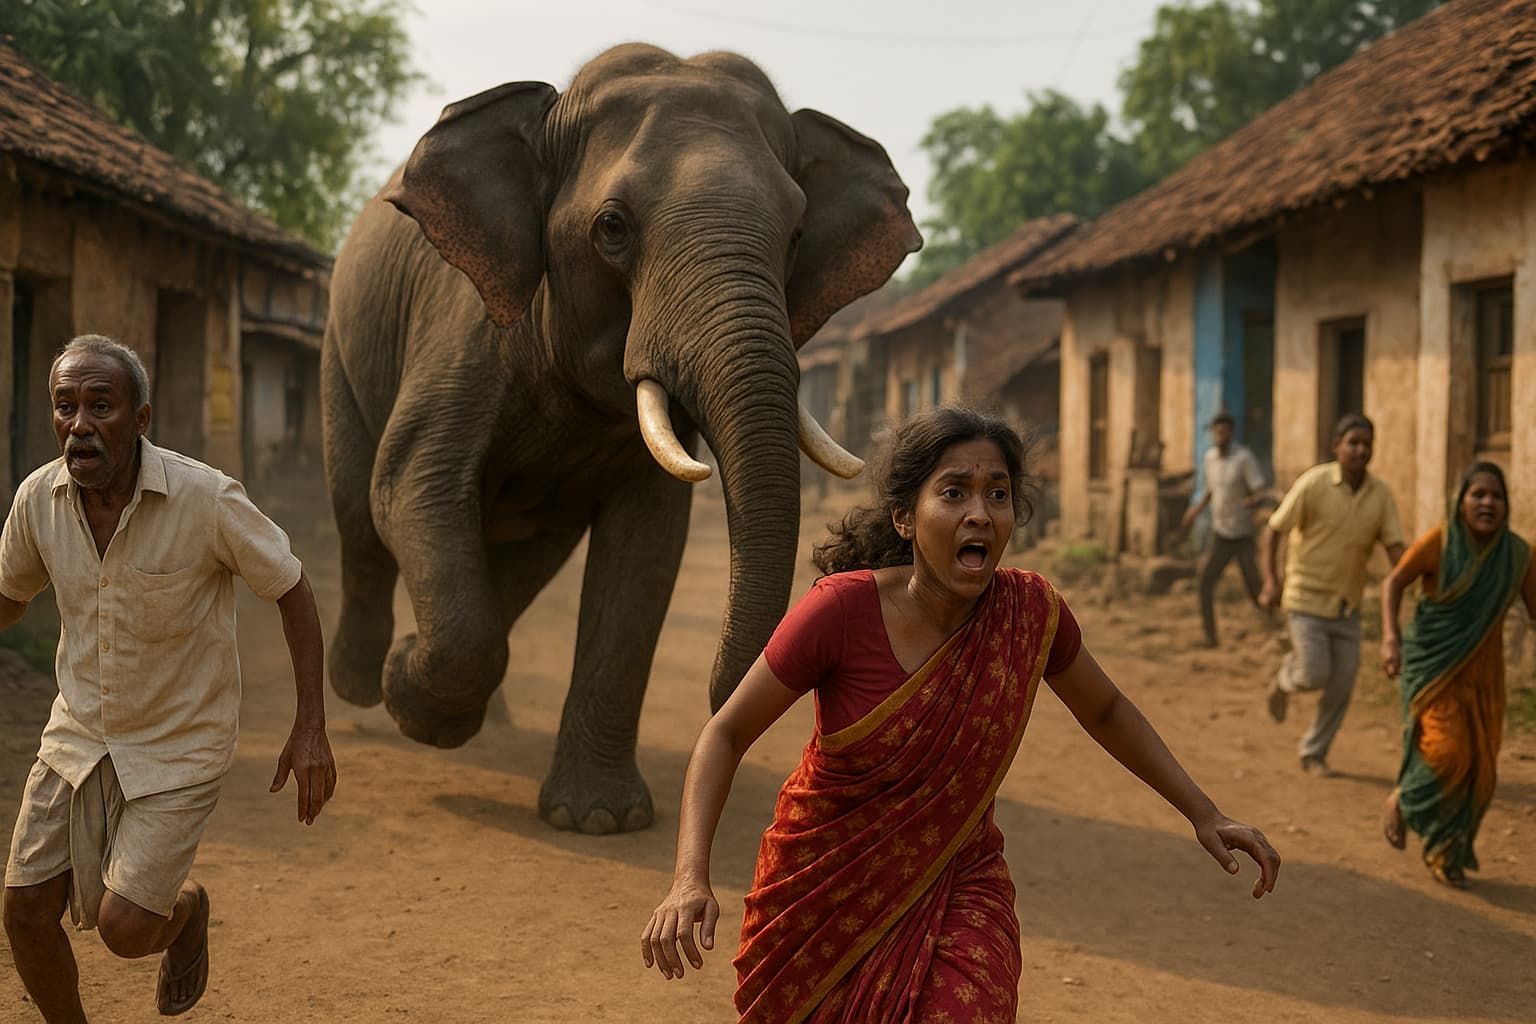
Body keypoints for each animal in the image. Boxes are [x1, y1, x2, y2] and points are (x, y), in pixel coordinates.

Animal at [321, 43, 920, 834]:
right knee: (359, 513)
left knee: (521, 554)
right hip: (340, 347)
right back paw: (363, 684)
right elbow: (413, 484)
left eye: (795, 236)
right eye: (612, 227)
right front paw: (411, 698)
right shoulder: (465, 329)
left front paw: (598, 821)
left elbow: (646, 546)